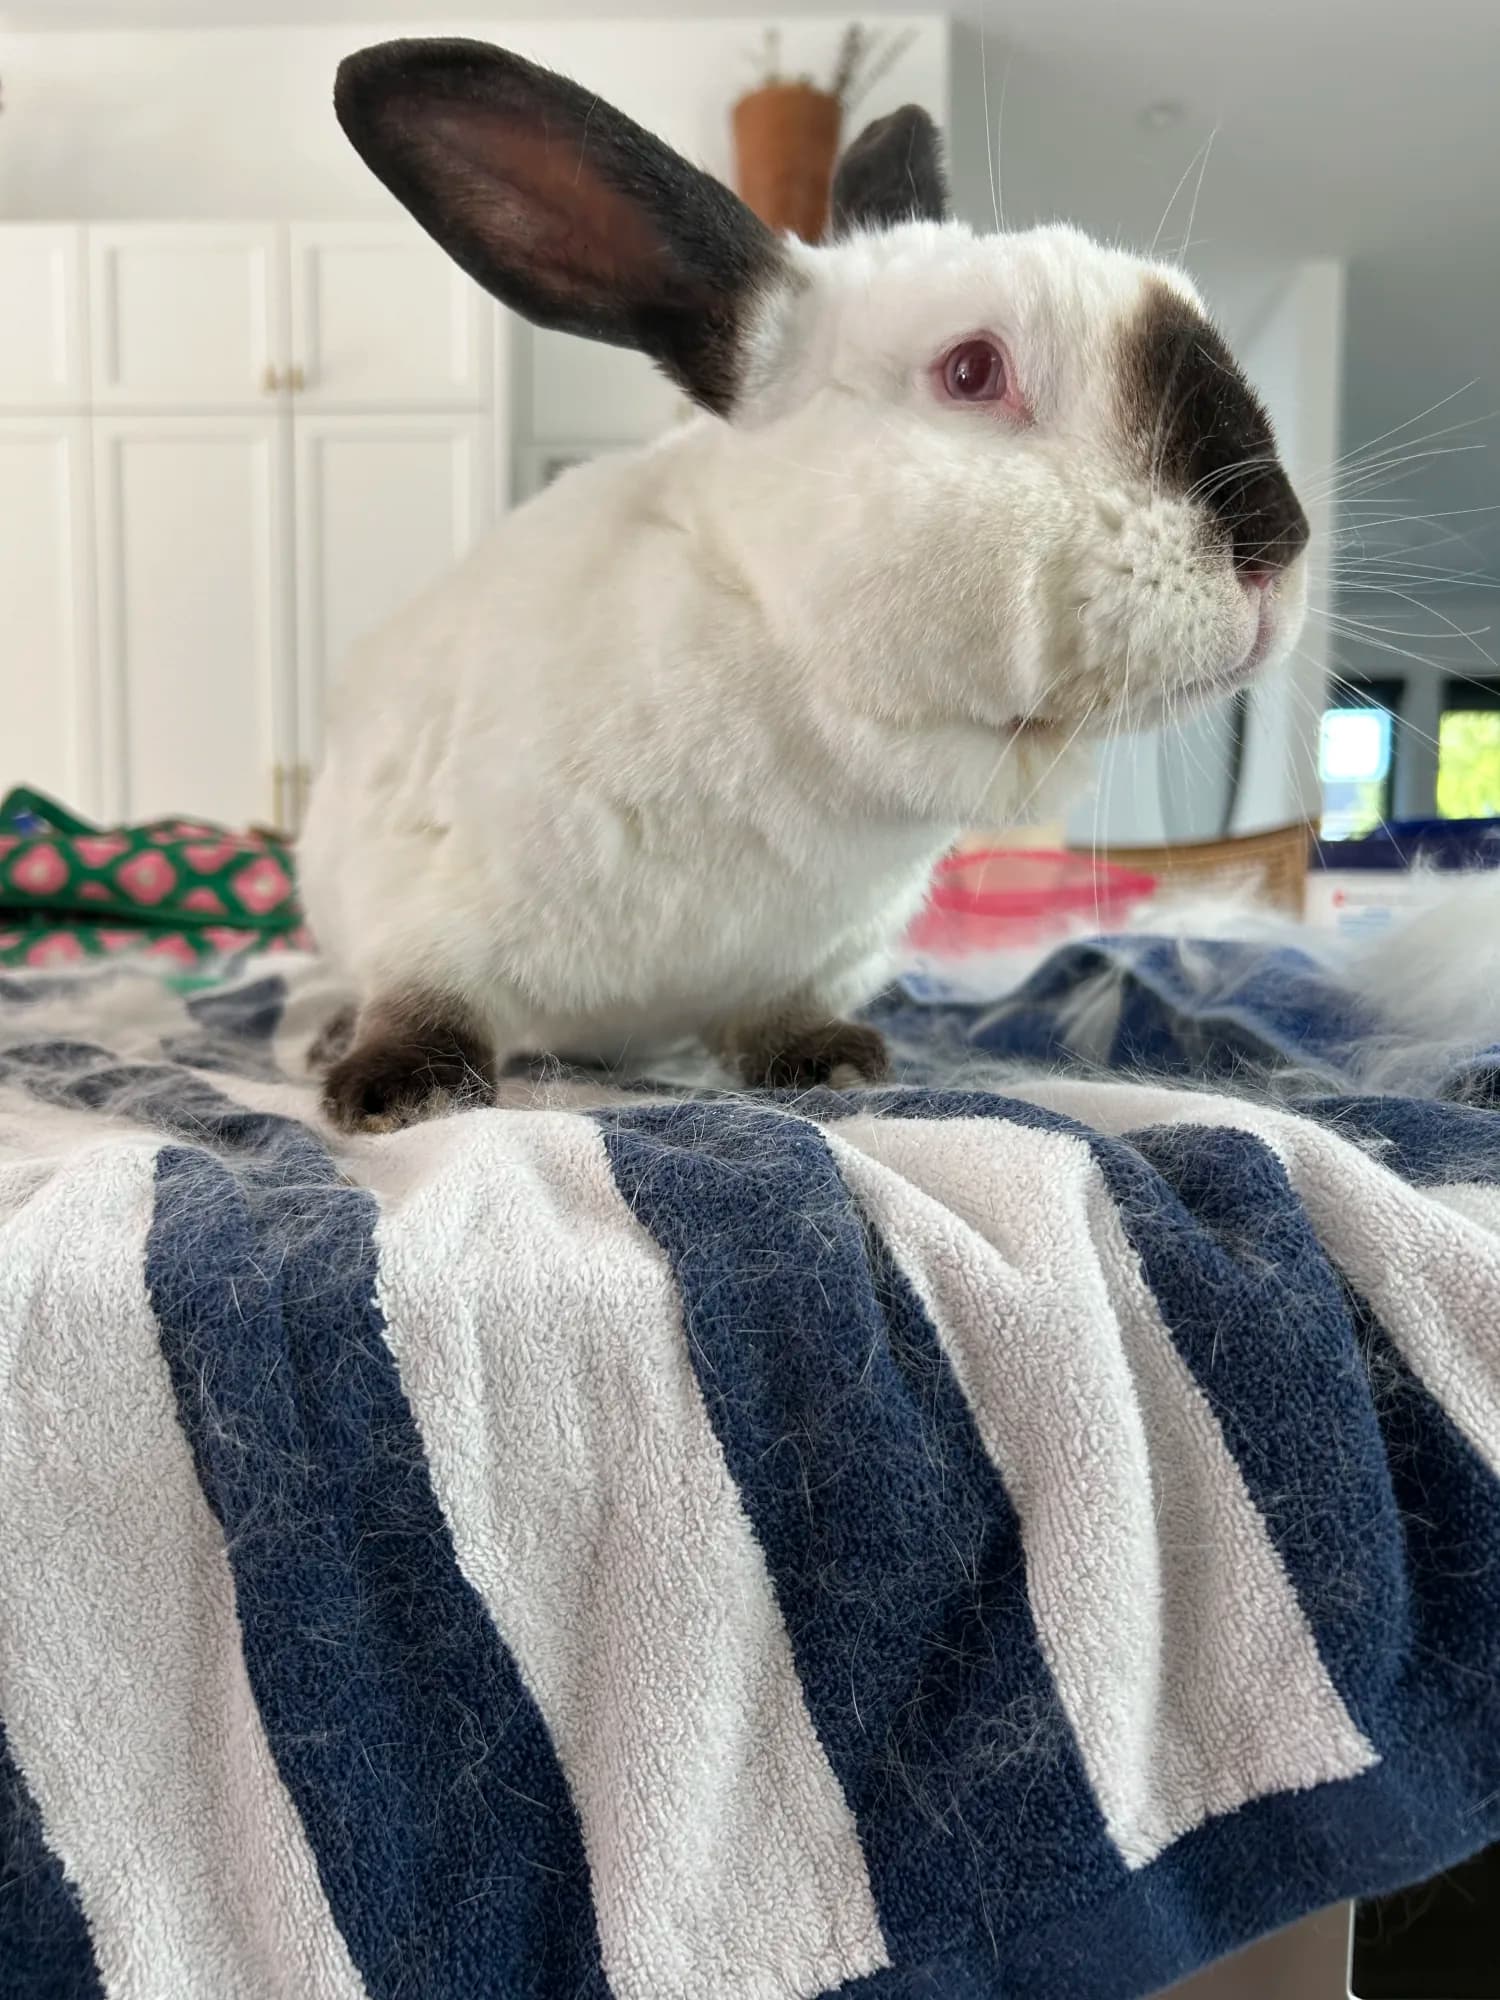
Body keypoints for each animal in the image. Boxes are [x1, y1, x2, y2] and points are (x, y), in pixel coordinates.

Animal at [298, 36, 1310, 1132]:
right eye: (971, 371)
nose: (1279, 541)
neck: (806, 699)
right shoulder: (422, 902)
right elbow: (427, 996)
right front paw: (405, 1094)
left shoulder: (824, 958)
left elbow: (782, 1017)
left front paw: (834, 1063)